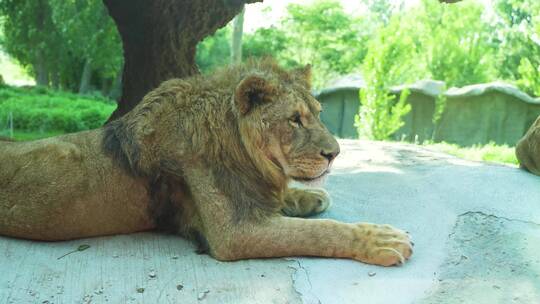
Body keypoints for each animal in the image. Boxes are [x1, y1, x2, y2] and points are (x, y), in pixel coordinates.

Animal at [0, 59, 412, 266]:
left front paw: (307, 198)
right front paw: (381, 239)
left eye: (318, 114)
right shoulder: (234, 234)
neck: (243, 154)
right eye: (294, 120)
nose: (335, 153)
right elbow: (320, 233)